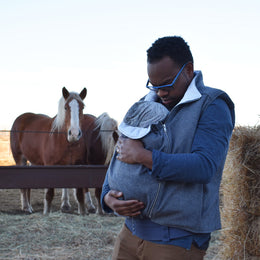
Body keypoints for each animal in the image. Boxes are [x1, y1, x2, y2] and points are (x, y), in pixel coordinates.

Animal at [10, 87, 118, 215]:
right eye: (66, 107)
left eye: (82, 107)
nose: (74, 133)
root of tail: (21, 118)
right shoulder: (50, 166)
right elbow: (49, 194)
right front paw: (47, 212)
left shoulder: (78, 166)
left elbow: (80, 192)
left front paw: (84, 211)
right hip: (20, 159)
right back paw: (26, 207)